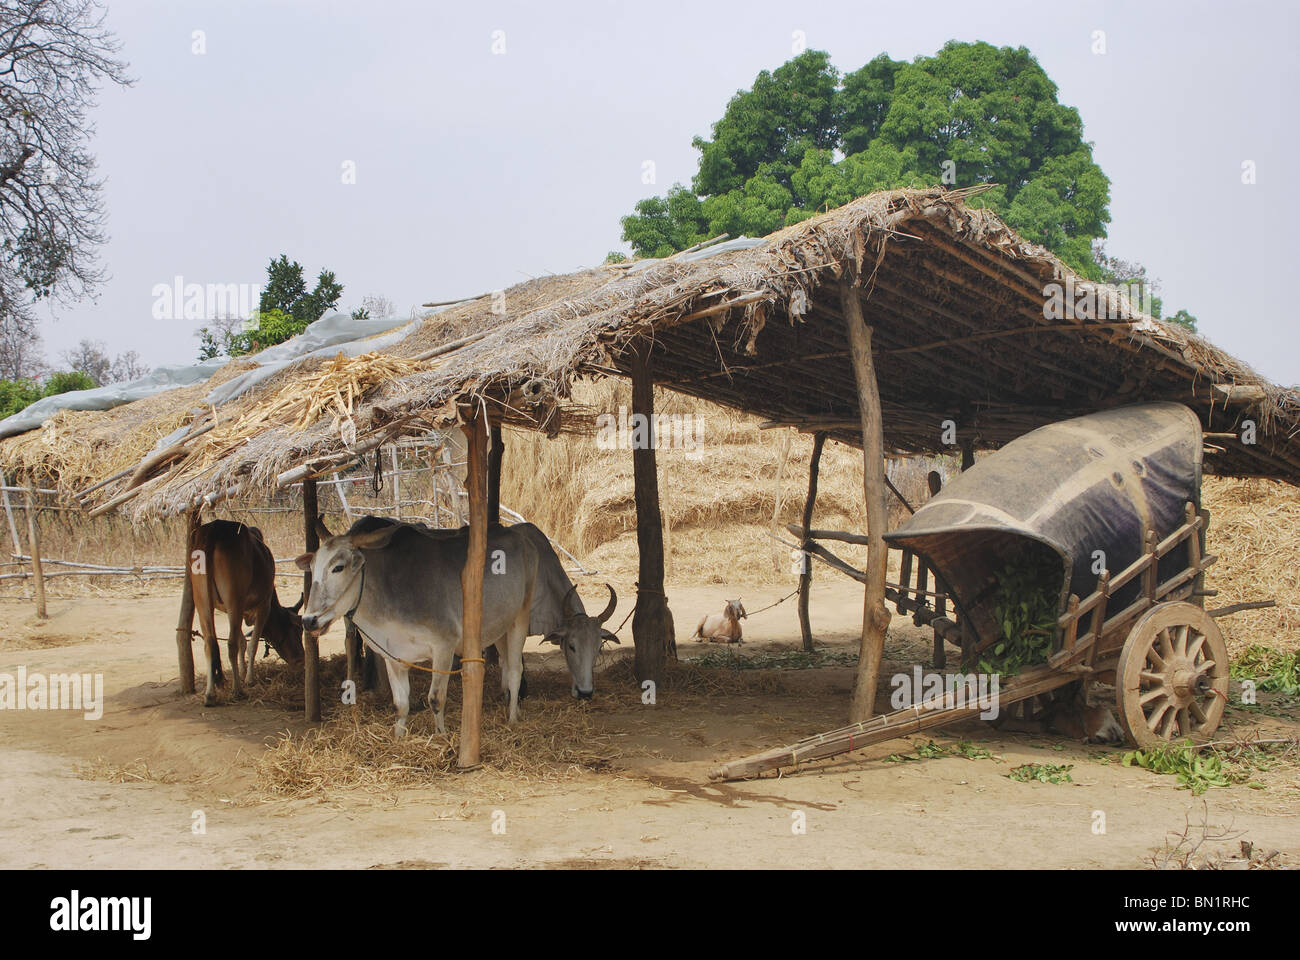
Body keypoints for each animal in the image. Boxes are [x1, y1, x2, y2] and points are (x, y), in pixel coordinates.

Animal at [187, 515, 302, 702]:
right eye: (298, 629)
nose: (300, 658)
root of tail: (215, 529)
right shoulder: (263, 606)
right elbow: (251, 644)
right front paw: (249, 679)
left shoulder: (236, 611)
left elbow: (242, 641)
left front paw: (242, 672)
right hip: (234, 598)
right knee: (231, 644)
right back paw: (237, 690)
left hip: (202, 600)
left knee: (210, 643)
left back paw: (210, 694)